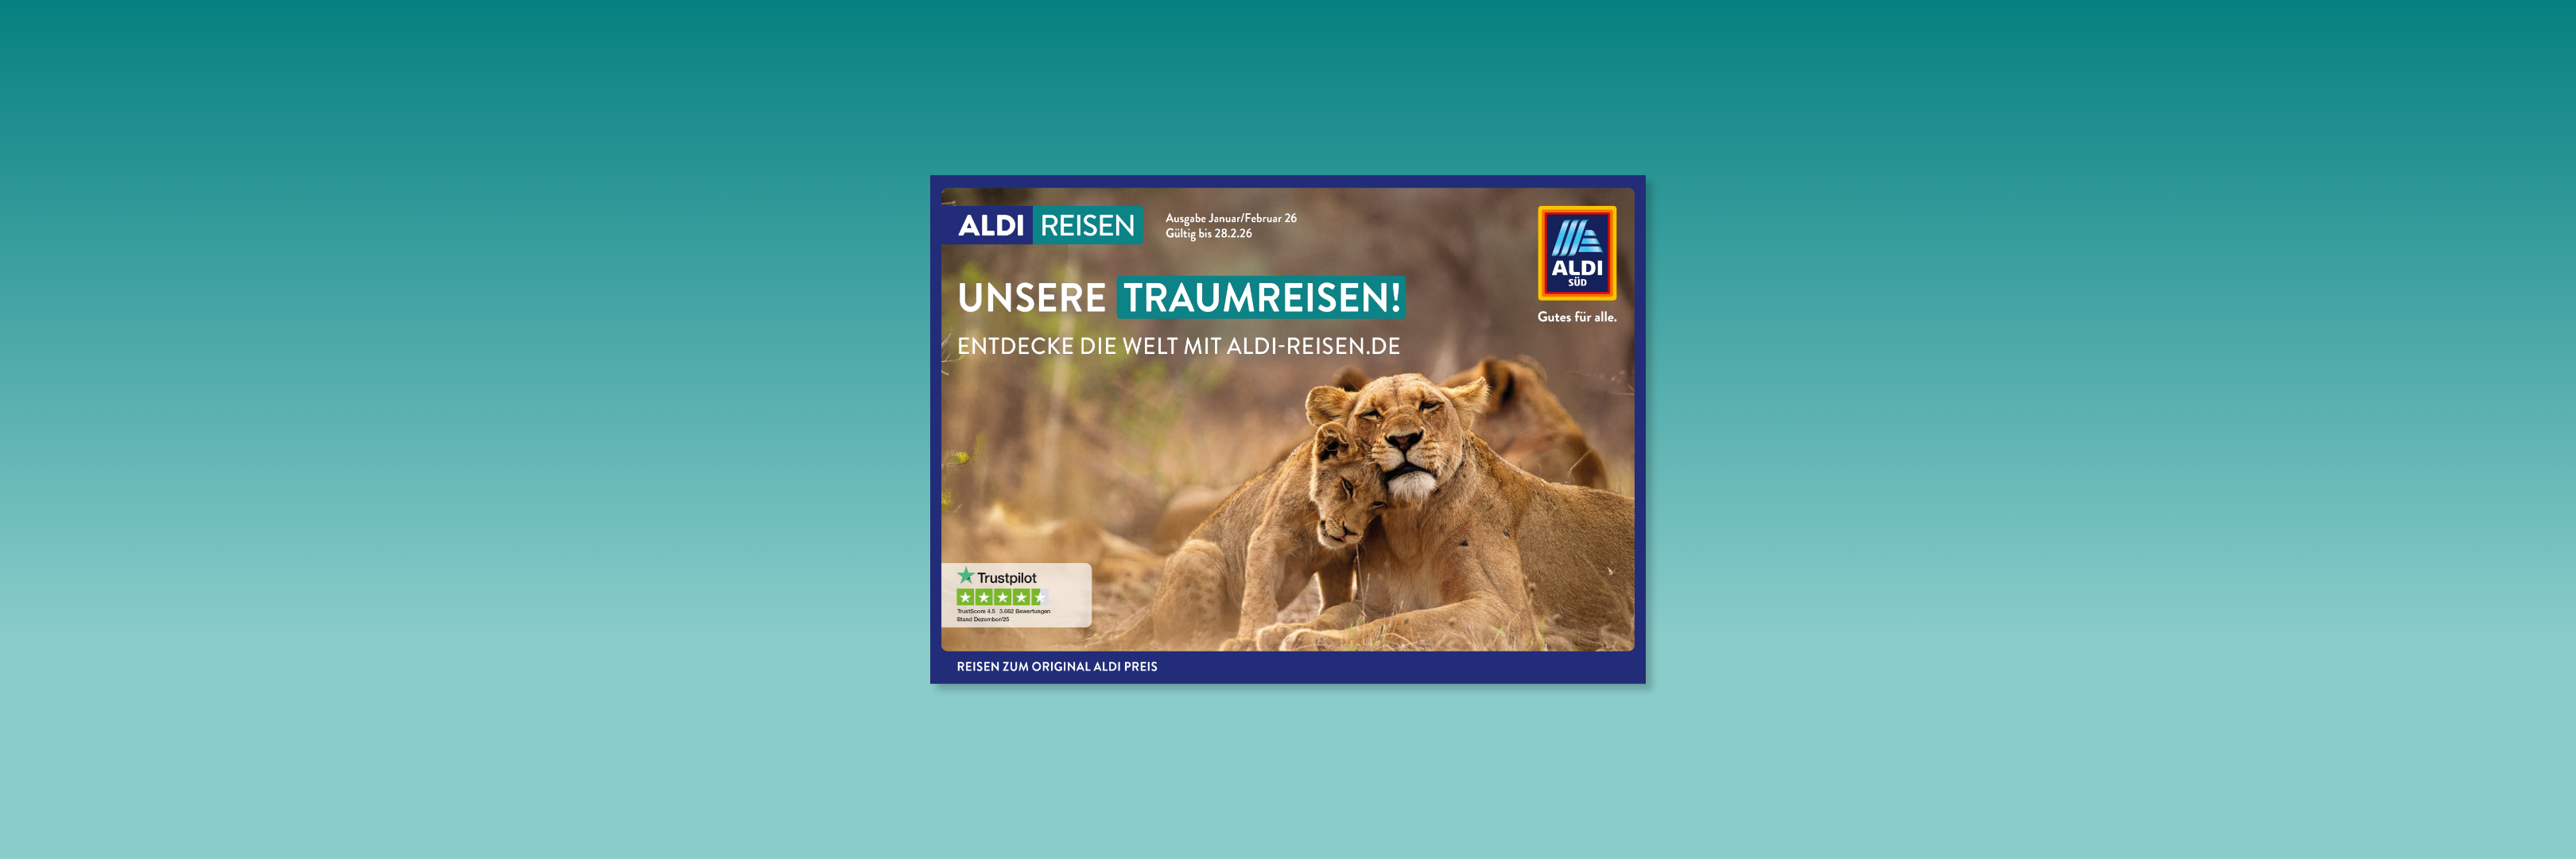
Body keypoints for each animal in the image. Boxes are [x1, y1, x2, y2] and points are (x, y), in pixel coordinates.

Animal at [1278, 373, 1635, 651]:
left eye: (1428, 405)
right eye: (1372, 414)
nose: (1404, 439)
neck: (1410, 527)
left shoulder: (1509, 616)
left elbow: (1404, 624)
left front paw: (1309, 640)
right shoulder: (1375, 603)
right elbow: (1334, 614)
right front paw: (1280, 630)